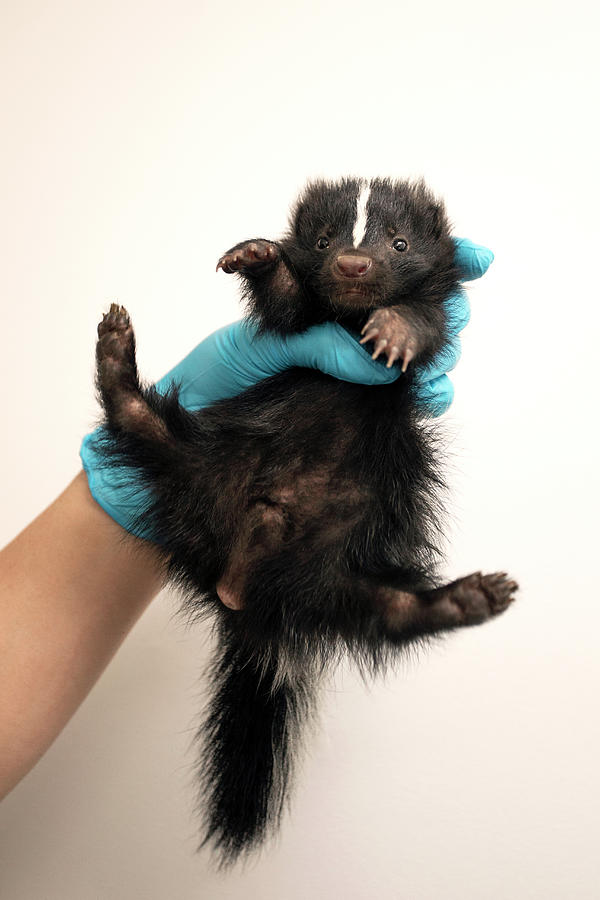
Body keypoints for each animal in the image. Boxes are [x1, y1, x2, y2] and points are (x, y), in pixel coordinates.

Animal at [96, 176, 516, 864]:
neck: (346, 317)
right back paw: (116, 359)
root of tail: (244, 584)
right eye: (322, 240)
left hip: (333, 571)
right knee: (144, 428)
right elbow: (289, 306)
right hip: (203, 466)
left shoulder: (436, 299)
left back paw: (466, 599)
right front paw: (257, 255)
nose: (352, 263)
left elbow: (426, 320)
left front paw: (396, 331)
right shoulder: (300, 323)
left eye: (398, 243)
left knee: (388, 610)